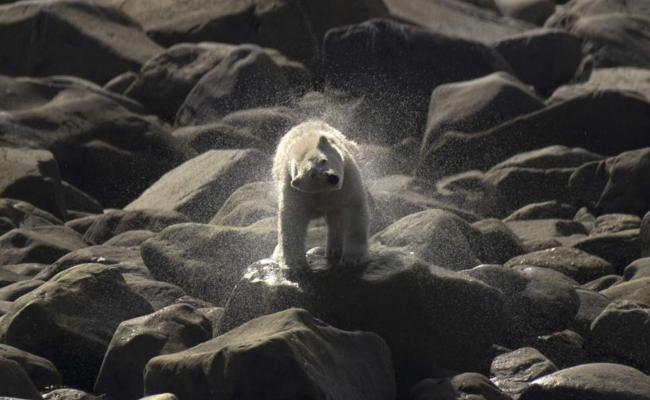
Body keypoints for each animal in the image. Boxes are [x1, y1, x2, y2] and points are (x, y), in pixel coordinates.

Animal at [270, 119, 370, 268]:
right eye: (312, 174)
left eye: (323, 160)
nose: (332, 178)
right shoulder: (295, 190)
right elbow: (292, 218)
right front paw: (294, 264)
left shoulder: (347, 179)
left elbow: (353, 210)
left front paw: (353, 258)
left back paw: (335, 250)